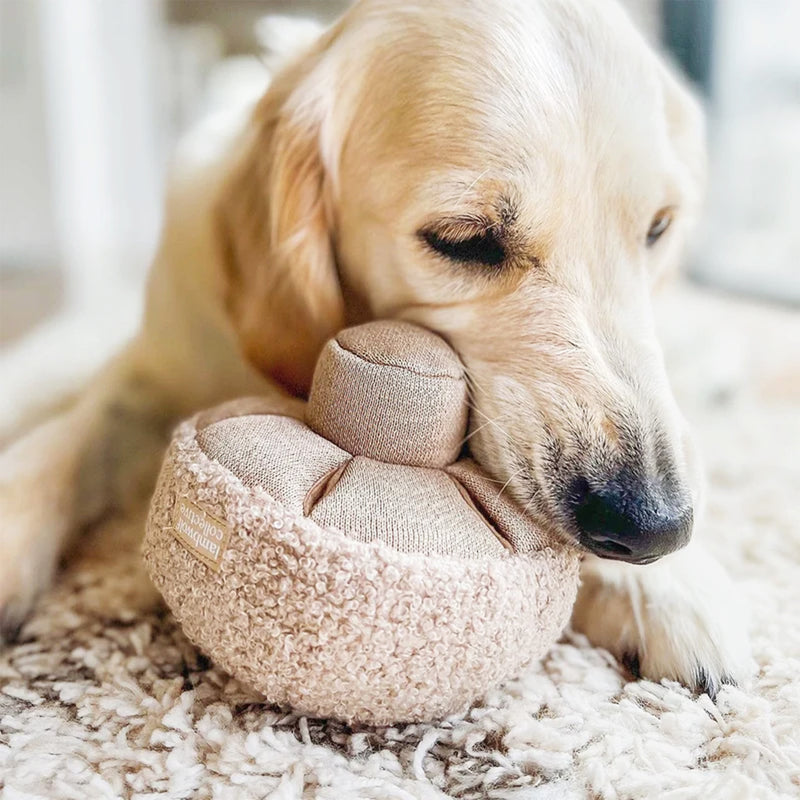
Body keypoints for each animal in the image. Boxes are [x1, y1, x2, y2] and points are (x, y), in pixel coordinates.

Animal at [0, 0, 752, 696]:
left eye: (657, 228)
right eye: (463, 239)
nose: (654, 524)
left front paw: (671, 585)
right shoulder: (156, 362)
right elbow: (70, 435)